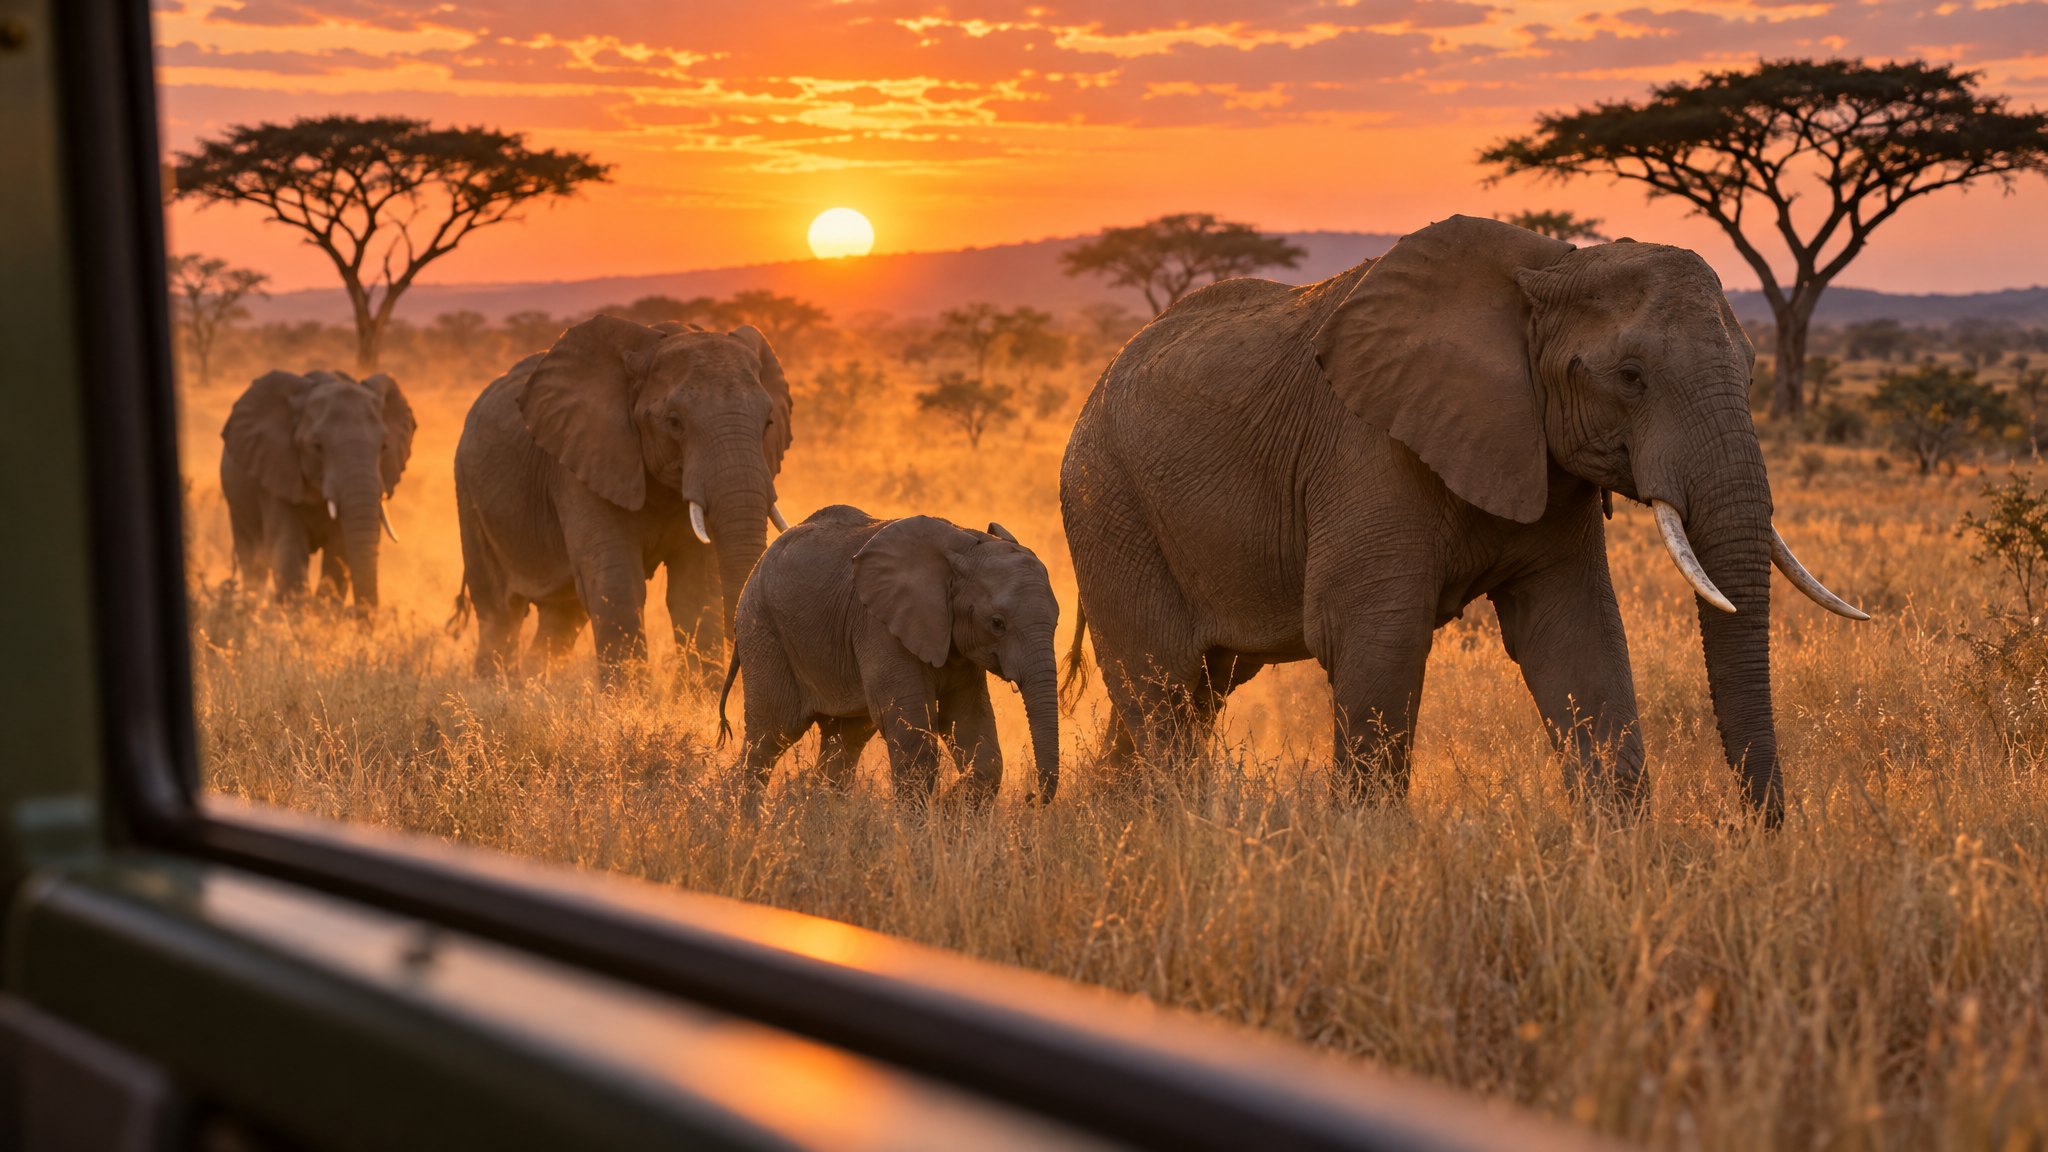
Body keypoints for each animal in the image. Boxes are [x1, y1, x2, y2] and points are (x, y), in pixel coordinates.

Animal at [220, 368, 415, 609]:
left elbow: (339, 551)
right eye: (317, 446)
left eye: (384, 447)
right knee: (253, 560)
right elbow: (289, 549)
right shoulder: (276, 473)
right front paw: (298, 615)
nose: (358, 614)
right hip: (236, 504)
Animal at [454, 316, 793, 686]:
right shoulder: (581, 462)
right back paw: (493, 687)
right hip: (468, 491)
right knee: (499, 611)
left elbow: (695, 589)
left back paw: (535, 685)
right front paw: (629, 698)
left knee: (562, 615)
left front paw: (697, 694)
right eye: (674, 422)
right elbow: (616, 584)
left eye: (768, 422)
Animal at [718, 506, 1063, 804]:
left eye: (1057, 622)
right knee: (770, 736)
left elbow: (970, 727)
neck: (964, 547)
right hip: (764, 633)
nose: (1031, 798)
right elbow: (914, 739)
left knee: (844, 741)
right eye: (997, 624)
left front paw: (950, 810)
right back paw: (743, 822)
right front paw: (922, 830)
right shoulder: (878, 626)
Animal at [1058, 215, 1866, 824]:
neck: (1550, 269)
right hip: (1108, 503)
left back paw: (1115, 816)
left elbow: (1578, 635)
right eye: (1630, 378)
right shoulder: (1366, 449)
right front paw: (1368, 854)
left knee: (1193, 686)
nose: (1760, 833)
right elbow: (1372, 635)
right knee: (1162, 683)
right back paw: (1169, 823)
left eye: (1754, 372)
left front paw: (1625, 859)